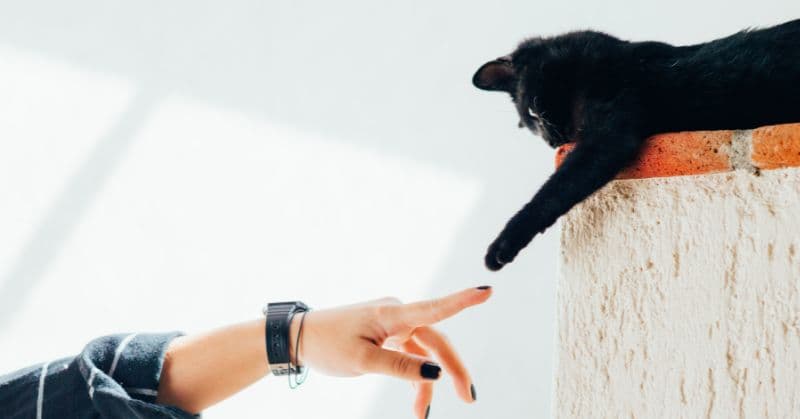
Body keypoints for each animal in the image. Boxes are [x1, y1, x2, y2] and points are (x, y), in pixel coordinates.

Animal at [472, 18, 800, 272]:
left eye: (534, 112)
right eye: (531, 125)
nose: (554, 142)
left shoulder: (608, 135)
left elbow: (553, 192)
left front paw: (502, 245)